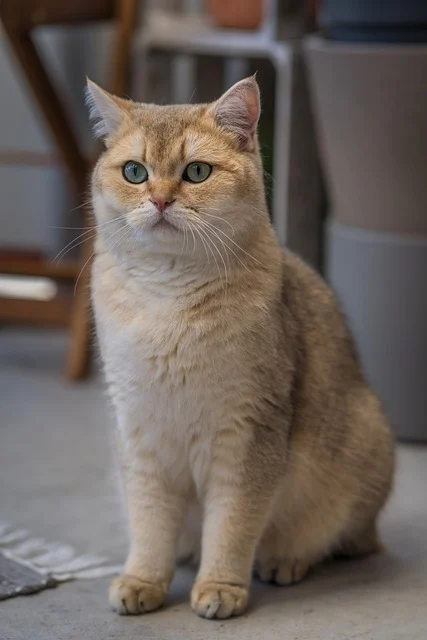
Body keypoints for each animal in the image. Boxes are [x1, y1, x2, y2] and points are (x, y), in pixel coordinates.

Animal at [85, 76, 396, 620]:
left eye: (196, 172)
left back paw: (285, 560)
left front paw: (220, 588)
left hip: (366, 441)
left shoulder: (247, 434)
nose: (161, 201)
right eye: (134, 172)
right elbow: (149, 522)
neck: (168, 301)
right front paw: (143, 580)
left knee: (340, 540)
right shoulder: (138, 433)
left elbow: (232, 523)